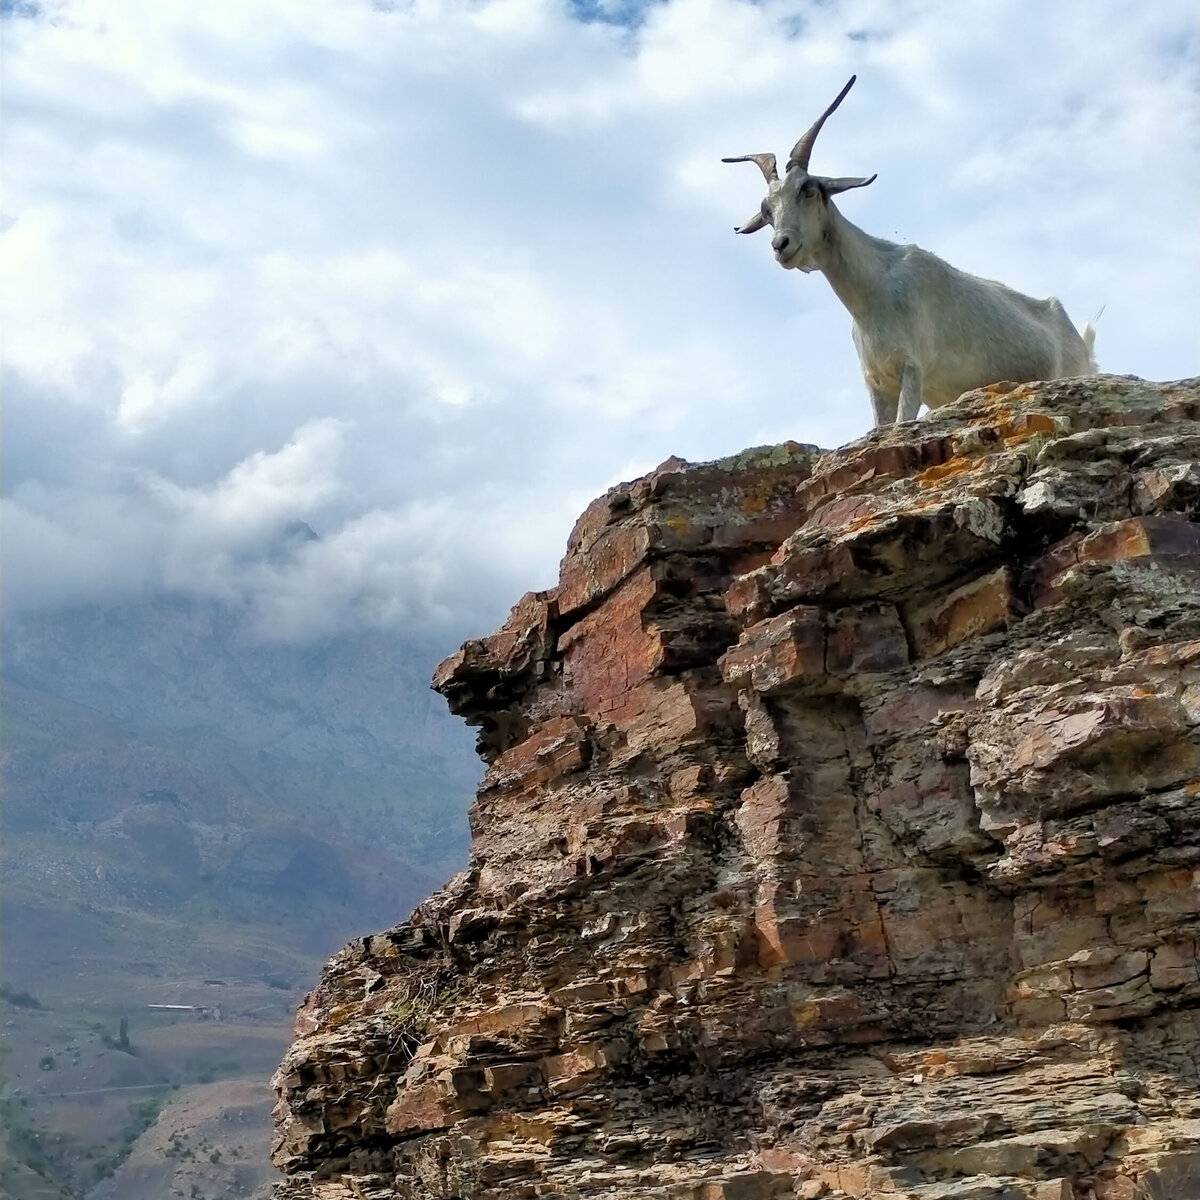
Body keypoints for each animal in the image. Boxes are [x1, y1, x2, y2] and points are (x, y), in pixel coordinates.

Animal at [720, 77, 1099, 429]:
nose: (781, 245)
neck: (874, 291)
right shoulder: (878, 384)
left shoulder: (912, 370)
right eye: (767, 209)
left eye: (808, 189)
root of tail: (1082, 343)